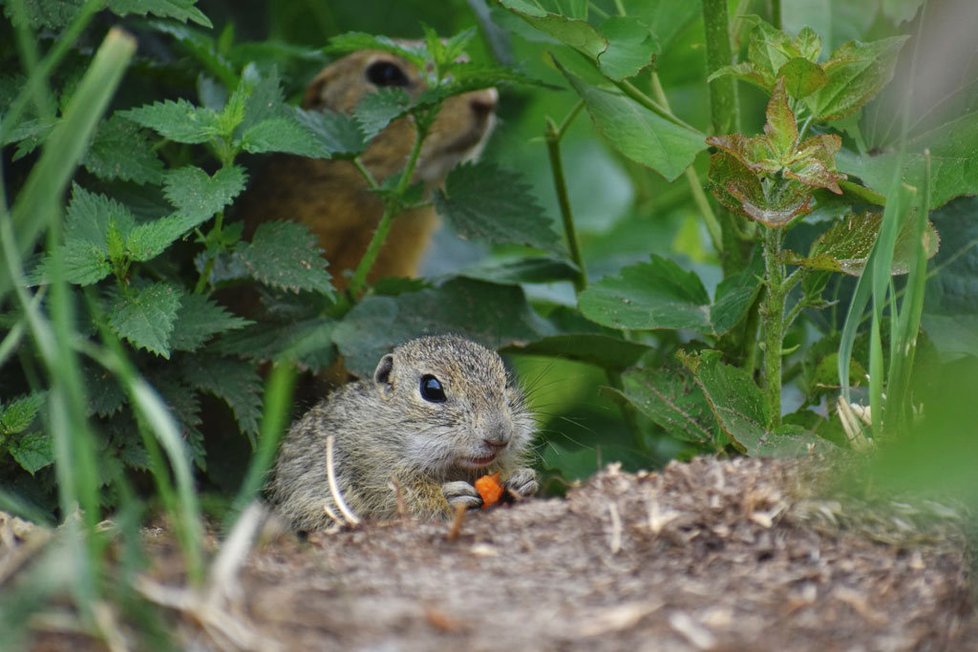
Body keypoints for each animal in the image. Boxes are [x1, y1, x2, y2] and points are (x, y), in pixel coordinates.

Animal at [266, 336, 536, 528]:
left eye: (505, 383)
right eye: (431, 389)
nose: (499, 437)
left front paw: (523, 480)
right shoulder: (376, 471)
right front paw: (449, 497)